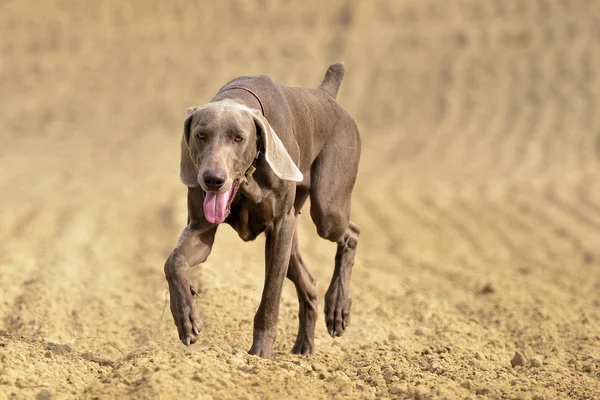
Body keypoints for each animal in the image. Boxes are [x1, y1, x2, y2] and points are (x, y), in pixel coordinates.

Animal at [162, 63, 360, 360]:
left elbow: (270, 297)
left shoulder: (279, 225)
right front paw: (186, 316)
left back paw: (337, 308)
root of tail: (326, 94)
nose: (212, 180)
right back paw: (304, 347)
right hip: (294, 231)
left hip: (327, 208)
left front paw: (260, 355)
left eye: (238, 138)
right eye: (200, 135)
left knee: (350, 233)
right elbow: (173, 261)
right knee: (310, 282)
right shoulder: (200, 227)